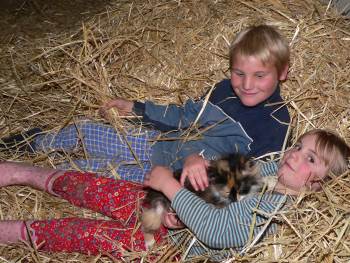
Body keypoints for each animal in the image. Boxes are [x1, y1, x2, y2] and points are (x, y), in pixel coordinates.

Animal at [141, 154, 274, 249]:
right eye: (227, 192)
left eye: (241, 189)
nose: (235, 200)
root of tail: (152, 193)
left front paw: (269, 182)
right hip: (159, 206)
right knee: (148, 222)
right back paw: (150, 243)